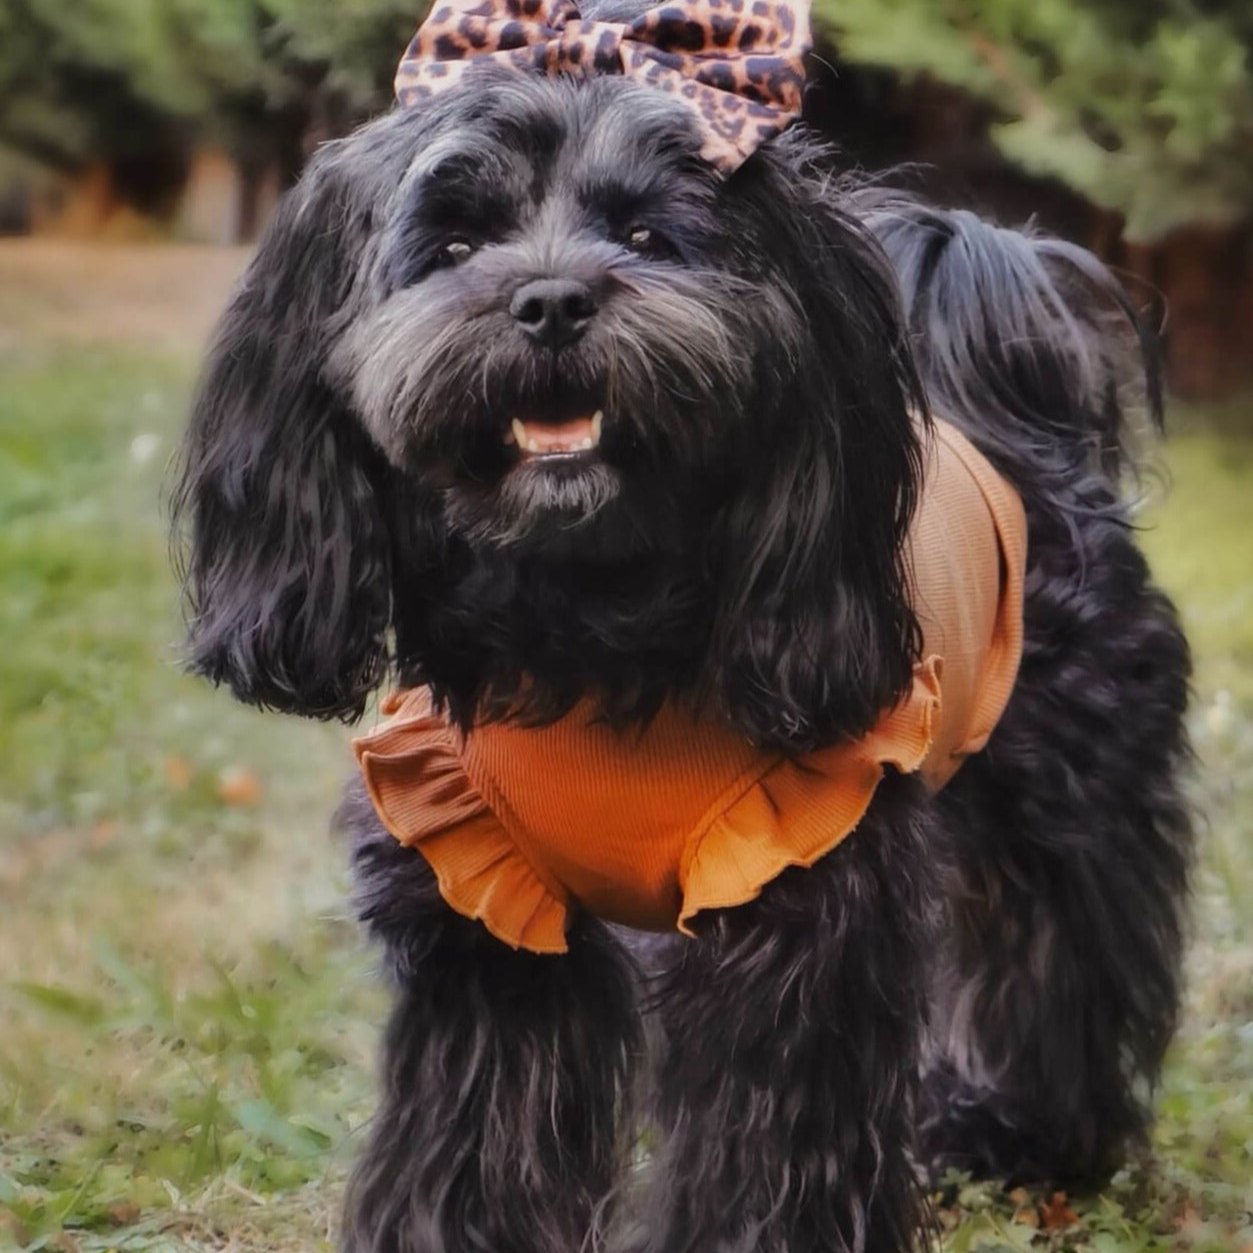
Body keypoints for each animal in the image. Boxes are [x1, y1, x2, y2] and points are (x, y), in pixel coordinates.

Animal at [171, 26, 1187, 1253]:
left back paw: (1017, 1135)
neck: (583, 633)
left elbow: (767, 1157)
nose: (551, 300)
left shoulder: (797, 925)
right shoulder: (488, 933)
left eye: (648, 235)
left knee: (1055, 965)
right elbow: (474, 1145)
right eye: (455, 242)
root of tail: (1011, 426)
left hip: (1062, 796)